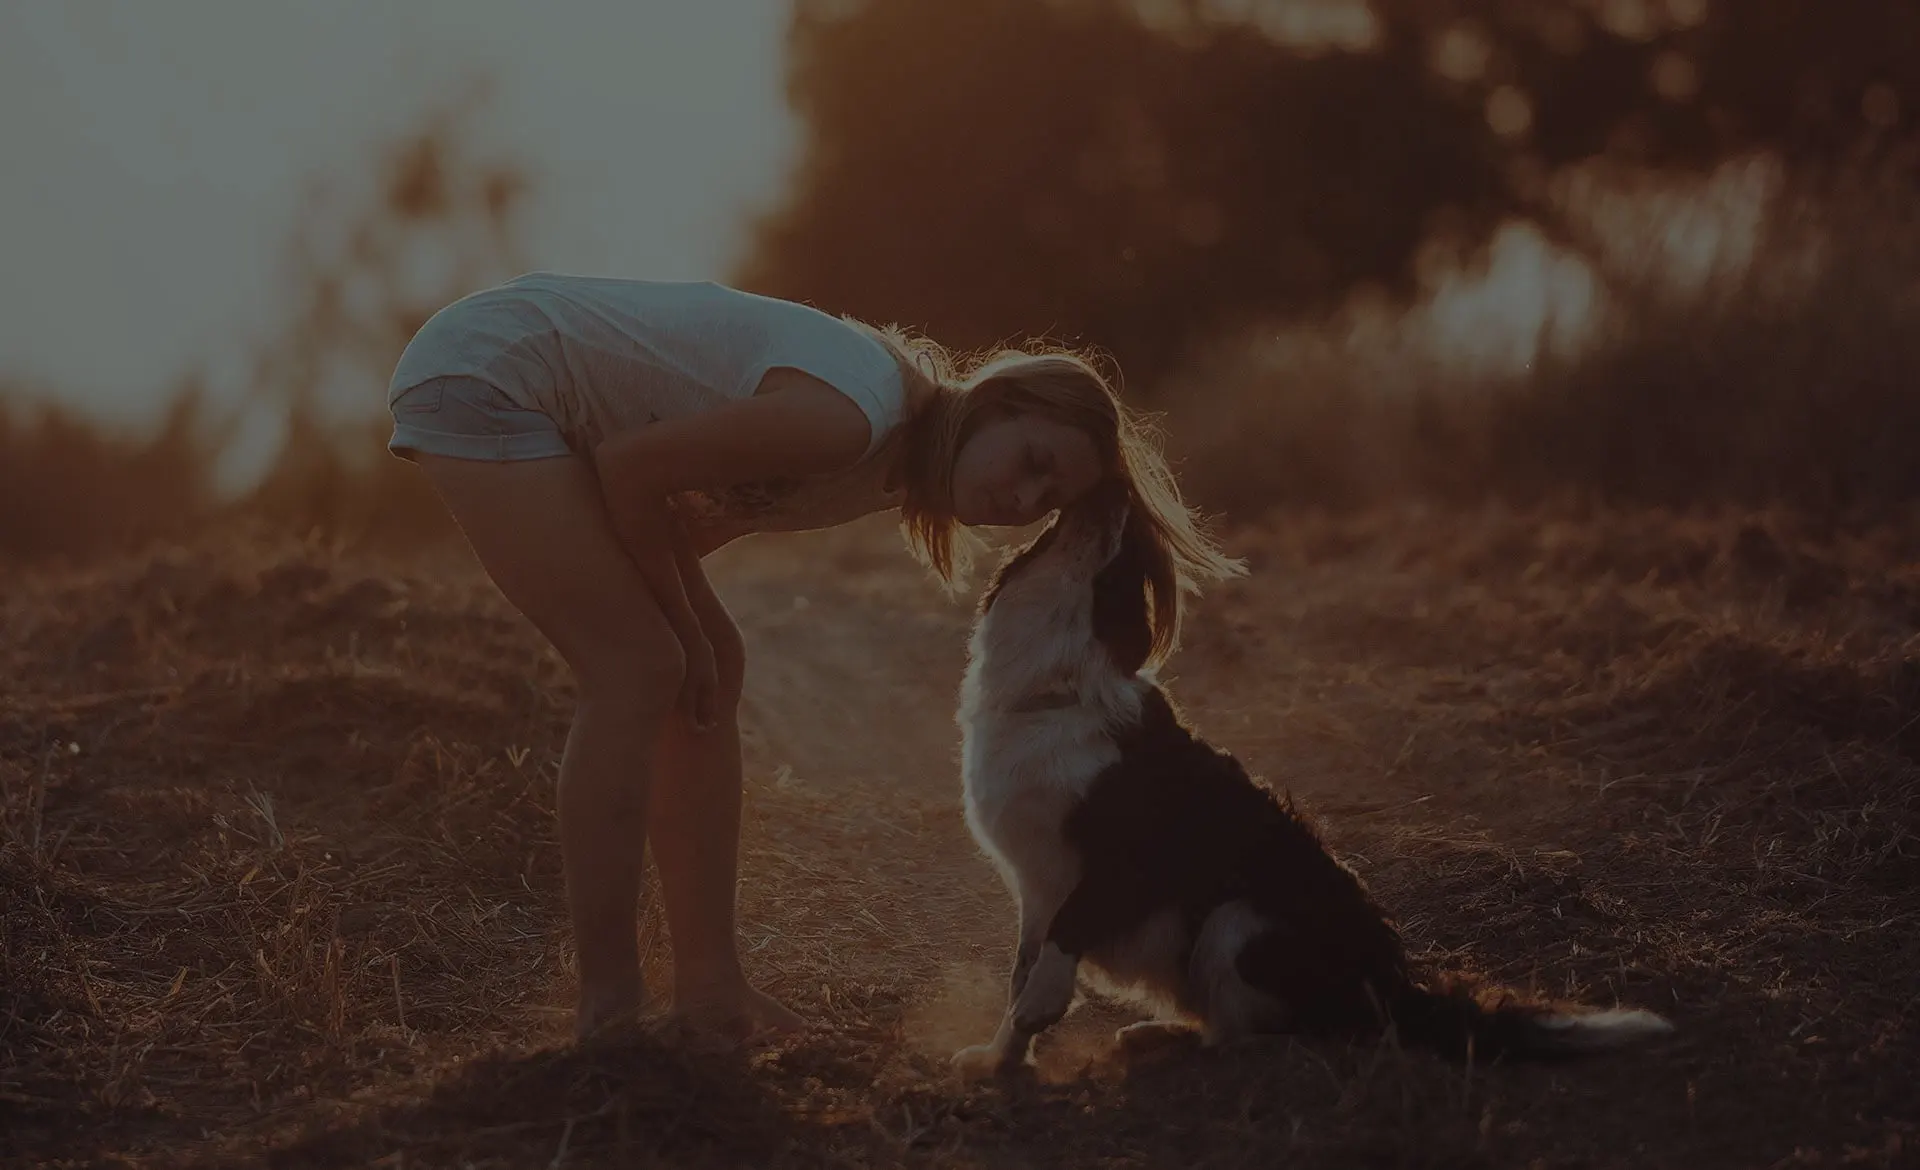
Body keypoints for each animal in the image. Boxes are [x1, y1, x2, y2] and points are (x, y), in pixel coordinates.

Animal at [952, 484, 1674, 1075]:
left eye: (1126, 569)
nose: (1111, 491)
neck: (1055, 692)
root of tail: (1392, 986)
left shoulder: (1116, 860)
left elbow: (1062, 940)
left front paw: (1039, 1010)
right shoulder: (1033, 882)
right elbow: (1021, 969)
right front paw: (1001, 1058)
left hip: (1239, 921)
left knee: (1267, 1034)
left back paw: (1177, 1045)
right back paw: (1155, 1035)